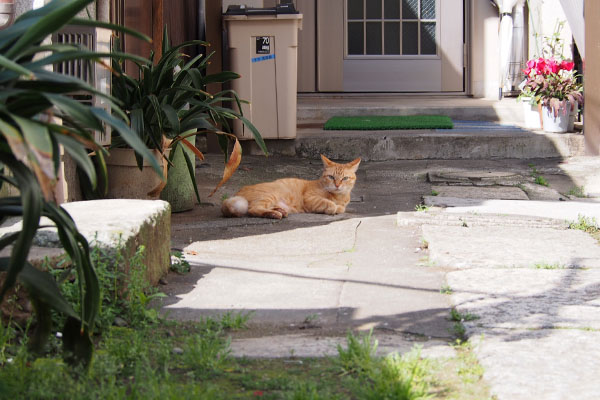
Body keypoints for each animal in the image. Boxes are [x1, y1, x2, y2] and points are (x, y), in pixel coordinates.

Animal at [221, 155, 358, 219]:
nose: (337, 185)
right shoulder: (310, 199)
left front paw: (338, 207)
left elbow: (341, 208)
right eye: (331, 177)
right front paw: (333, 207)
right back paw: (274, 214)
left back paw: (280, 211)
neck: (338, 197)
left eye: (345, 178)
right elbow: (328, 203)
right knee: (253, 209)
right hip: (269, 195)